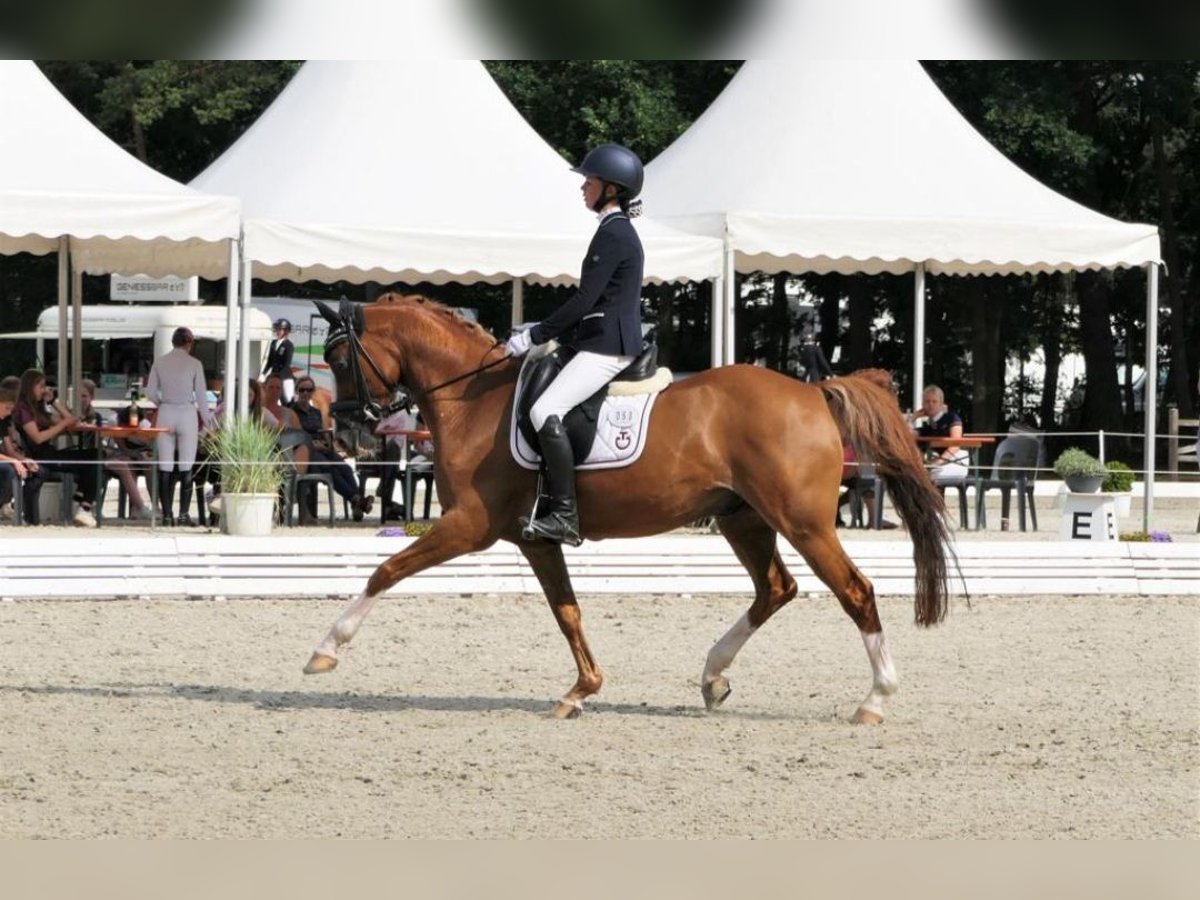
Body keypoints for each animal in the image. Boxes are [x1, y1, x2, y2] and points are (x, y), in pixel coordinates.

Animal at [302, 294, 955, 724]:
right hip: (742, 517)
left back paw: (874, 699)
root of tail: (814, 393)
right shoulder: (535, 539)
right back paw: (713, 676)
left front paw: (324, 651)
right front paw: (581, 690)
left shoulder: (469, 526)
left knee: (855, 591)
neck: (474, 398)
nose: (351, 437)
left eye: (340, 361)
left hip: (801, 521)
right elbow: (568, 612)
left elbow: (386, 570)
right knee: (776, 588)